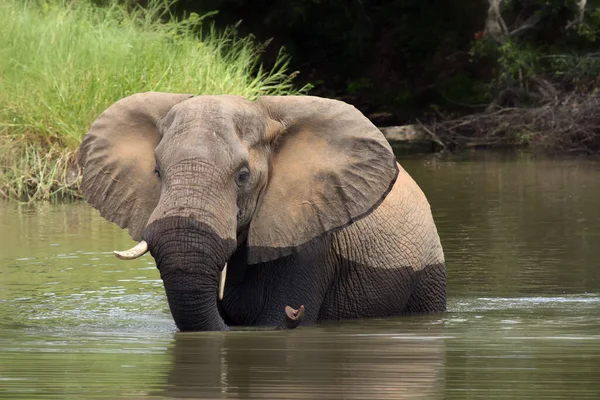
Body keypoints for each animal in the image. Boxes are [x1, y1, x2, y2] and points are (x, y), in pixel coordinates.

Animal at [77, 92, 446, 330]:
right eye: (157, 171)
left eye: (243, 176)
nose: (295, 312)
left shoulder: (311, 241)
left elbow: (272, 323)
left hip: (428, 277)